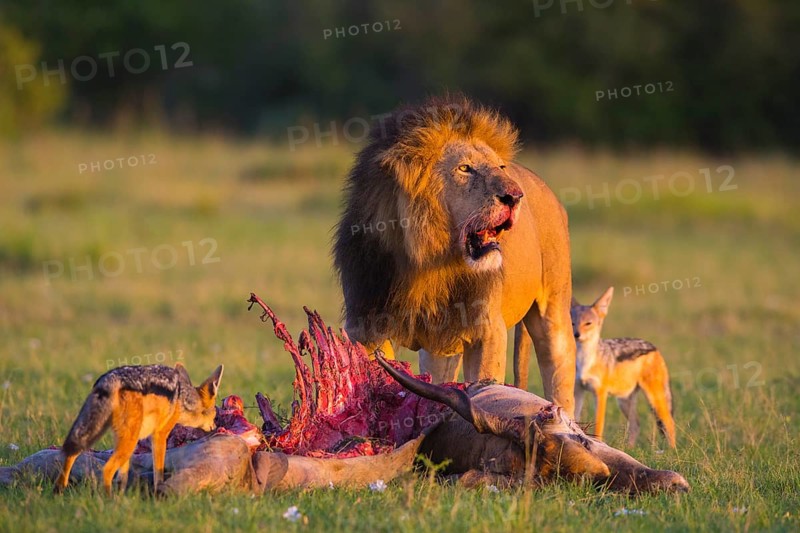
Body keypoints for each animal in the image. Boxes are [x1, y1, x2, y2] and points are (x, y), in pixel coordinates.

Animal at [332, 95, 576, 415]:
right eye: (465, 169)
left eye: (500, 167)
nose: (514, 196)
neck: (429, 260)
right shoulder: (366, 327)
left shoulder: (486, 328)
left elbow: (487, 385)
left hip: (554, 314)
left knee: (559, 370)